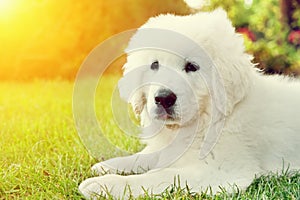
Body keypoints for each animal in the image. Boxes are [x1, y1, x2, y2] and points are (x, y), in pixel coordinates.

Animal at [78, 8, 300, 198]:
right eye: (154, 65)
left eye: (192, 66)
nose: (164, 98)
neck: (205, 119)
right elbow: (145, 157)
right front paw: (107, 166)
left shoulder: (220, 171)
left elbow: (161, 175)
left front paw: (103, 185)